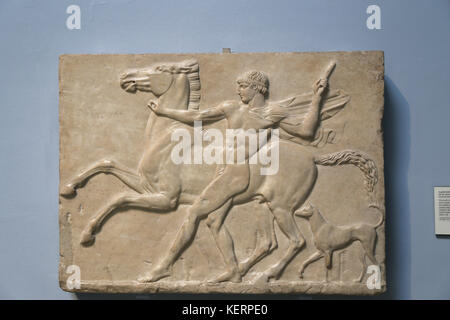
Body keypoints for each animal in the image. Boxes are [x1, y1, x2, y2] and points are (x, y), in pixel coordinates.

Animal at [59, 60, 376, 282]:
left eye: (159, 68)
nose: (126, 78)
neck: (169, 139)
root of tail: (314, 158)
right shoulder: (146, 185)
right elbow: (106, 164)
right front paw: (69, 188)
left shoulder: (165, 199)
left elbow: (118, 199)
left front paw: (87, 234)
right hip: (258, 205)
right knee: (264, 241)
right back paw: (233, 275)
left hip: (279, 206)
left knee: (295, 241)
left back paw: (264, 275)